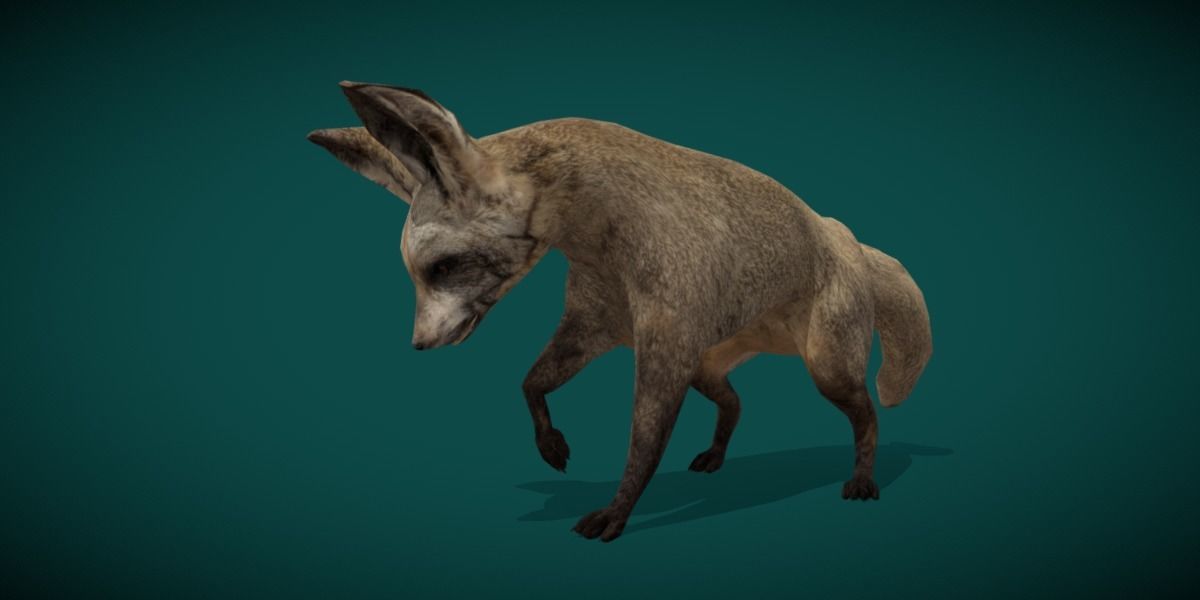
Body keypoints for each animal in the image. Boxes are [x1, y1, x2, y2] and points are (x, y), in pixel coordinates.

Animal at [308, 81, 932, 542]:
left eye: (442, 268)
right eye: (414, 274)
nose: (419, 344)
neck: (597, 233)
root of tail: (843, 237)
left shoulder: (662, 331)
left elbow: (643, 441)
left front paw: (619, 507)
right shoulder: (597, 321)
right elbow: (531, 383)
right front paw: (551, 444)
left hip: (825, 360)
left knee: (866, 414)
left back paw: (863, 473)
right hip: (707, 360)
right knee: (733, 401)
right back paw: (716, 453)